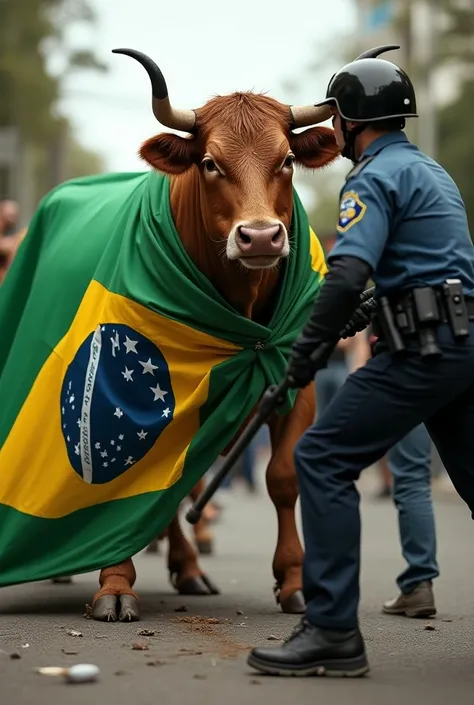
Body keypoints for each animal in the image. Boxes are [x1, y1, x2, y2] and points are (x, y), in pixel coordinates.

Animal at [88, 51, 340, 620]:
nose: (261, 237)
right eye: (209, 162)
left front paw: (294, 580)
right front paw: (114, 585)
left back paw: (189, 569)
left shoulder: (300, 385)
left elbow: (282, 478)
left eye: (286, 160)